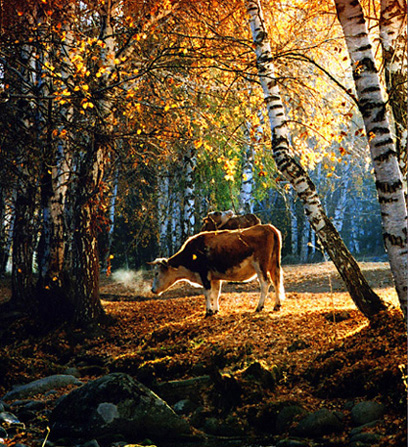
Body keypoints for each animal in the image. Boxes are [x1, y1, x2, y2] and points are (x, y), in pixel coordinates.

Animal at [148, 226, 286, 316]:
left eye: (156, 273)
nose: (152, 290)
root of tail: (268, 227)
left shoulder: (204, 275)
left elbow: (207, 293)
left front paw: (208, 311)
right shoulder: (214, 278)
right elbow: (215, 293)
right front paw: (215, 310)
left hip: (260, 265)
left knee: (265, 283)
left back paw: (259, 306)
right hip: (273, 265)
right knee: (276, 282)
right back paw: (277, 305)